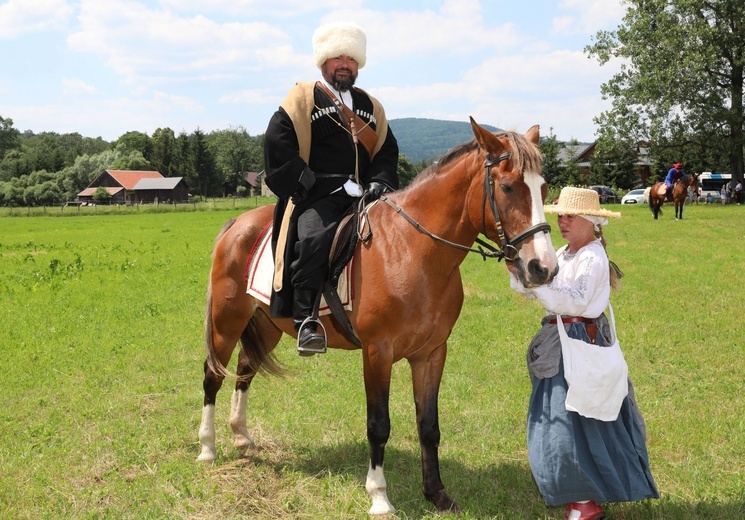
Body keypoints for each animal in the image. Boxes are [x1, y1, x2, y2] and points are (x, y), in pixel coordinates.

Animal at [198, 120, 560, 512]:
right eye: (507, 187)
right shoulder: (377, 353)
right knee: (212, 375)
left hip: (266, 325)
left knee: (245, 369)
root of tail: (238, 222)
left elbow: (428, 424)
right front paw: (379, 496)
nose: (543, 267)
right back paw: (207, 449)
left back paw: (242, 438)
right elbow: (379, 425)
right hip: (226, 321)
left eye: (543, 188)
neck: (412, 250)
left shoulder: (431, 353)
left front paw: (437, 493)